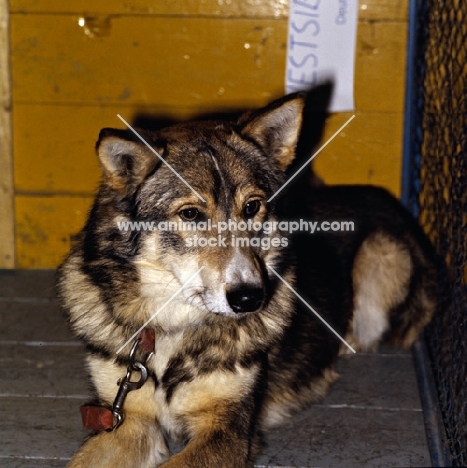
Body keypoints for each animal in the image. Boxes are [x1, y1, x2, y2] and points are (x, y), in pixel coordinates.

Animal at [57, 86, 438, 466]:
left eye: (252, 207)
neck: (175, 328)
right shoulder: (127, 418)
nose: (249, 299)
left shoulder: (227, 429)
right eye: (191, 214)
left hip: (382, 263)